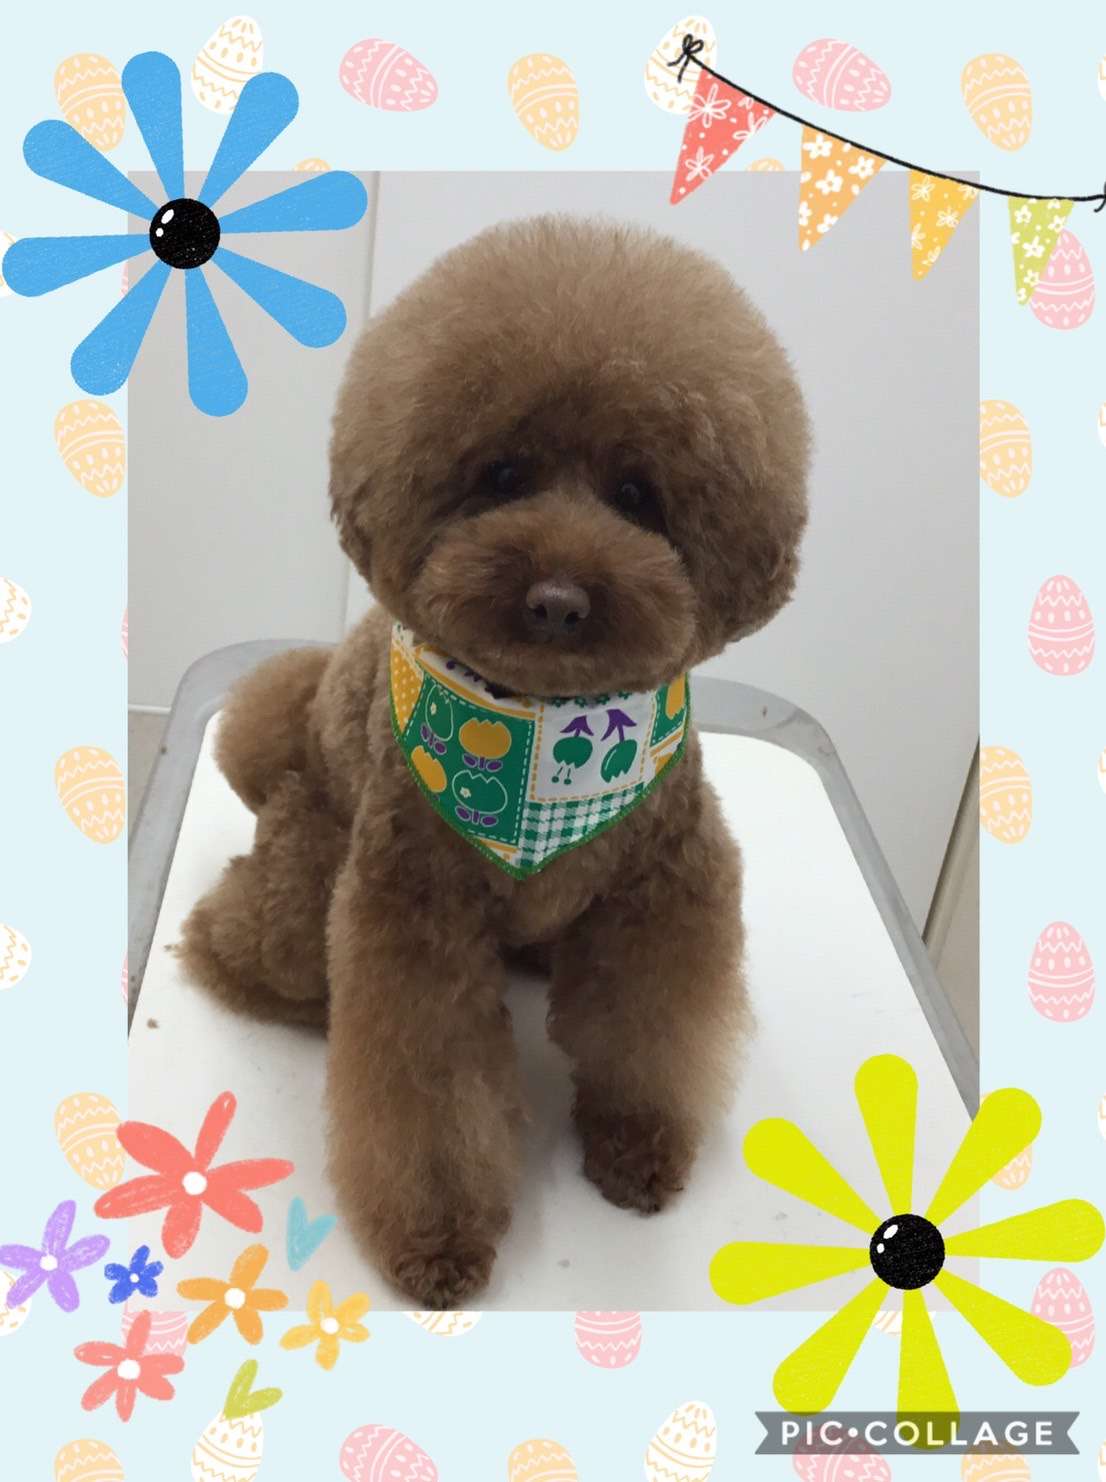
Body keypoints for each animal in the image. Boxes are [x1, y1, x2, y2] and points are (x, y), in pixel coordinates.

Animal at [180, 214, 810, 1307]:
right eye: (502, 476)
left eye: (638, 494)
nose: (557, 600)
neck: (541, 745)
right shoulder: (412, 915)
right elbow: (430, 1093)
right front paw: (436, 1240)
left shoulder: (664, 889)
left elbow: (644, 1037)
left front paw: (635, 1150)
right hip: (304, 886)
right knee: (241, 941)